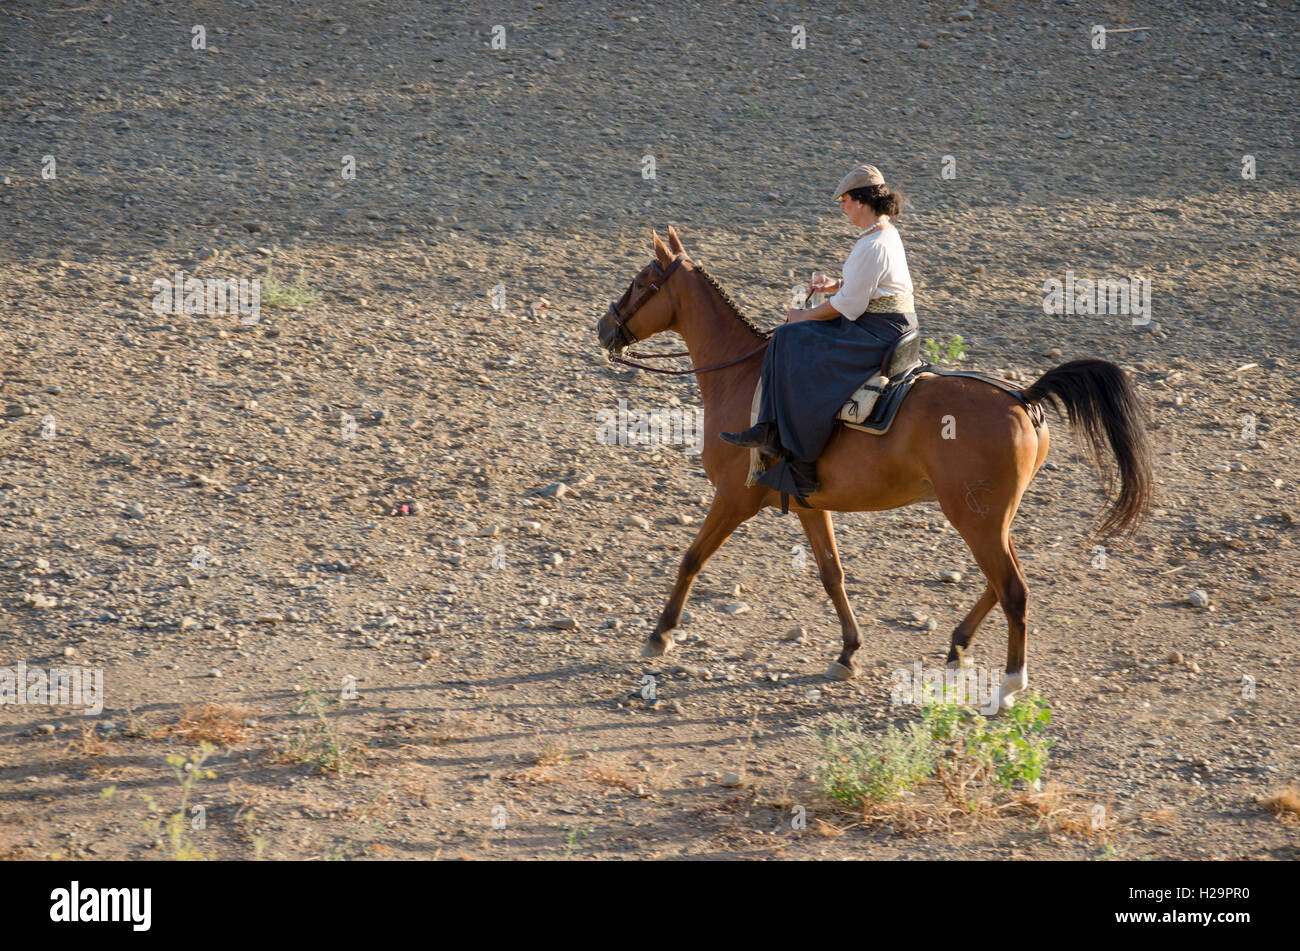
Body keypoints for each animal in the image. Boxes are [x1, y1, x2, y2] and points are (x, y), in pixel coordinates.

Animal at [595, 226, 1154, 711]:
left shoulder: (735, 497)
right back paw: (957, 647)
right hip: (992, 519)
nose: (604, 327)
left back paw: (1009, 686)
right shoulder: (807, 503)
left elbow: (691, 558)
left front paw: (659, 635)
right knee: (999, 583)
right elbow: (832, 574)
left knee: (1012, 589)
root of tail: (1024, 397)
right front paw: (847, 653)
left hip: (976, 518)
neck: (743, 374)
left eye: (642, 282)